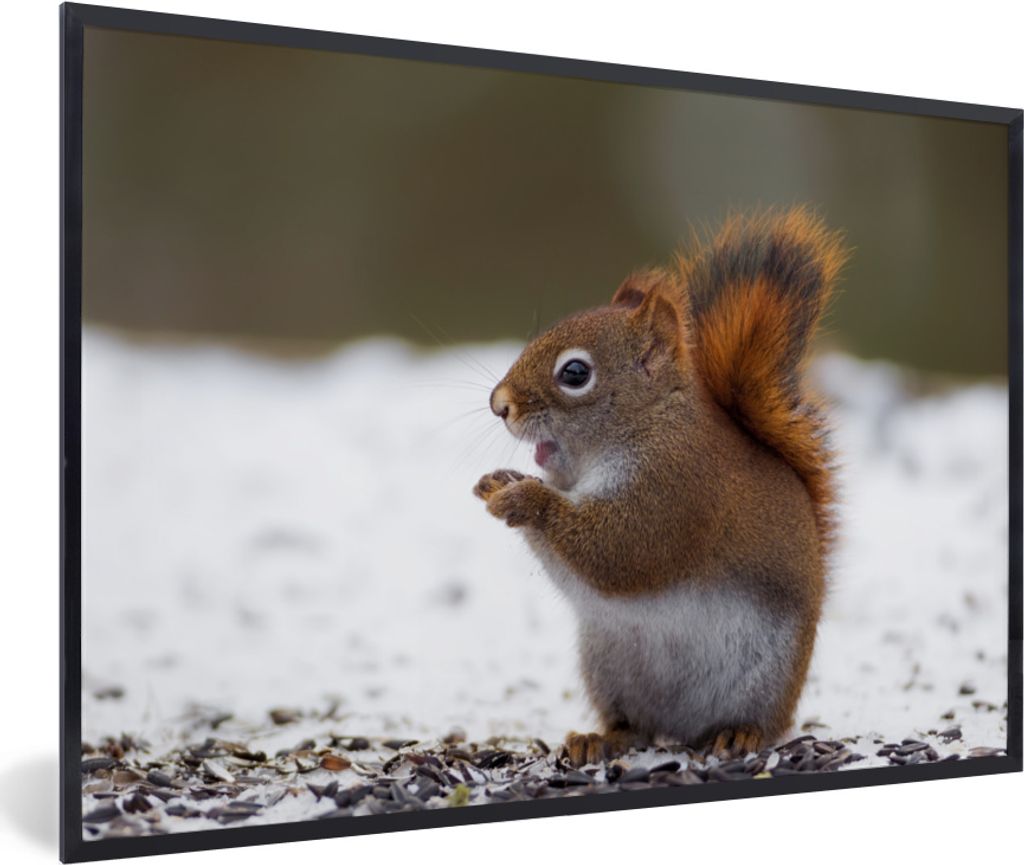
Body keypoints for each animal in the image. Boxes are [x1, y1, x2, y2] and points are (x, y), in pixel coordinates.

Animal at [473, 208, 848, 765]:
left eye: (575, 373)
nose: (500, 405)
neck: (645, 424)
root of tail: (684, 728)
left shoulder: (676, 490)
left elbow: (618, 552)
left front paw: (525, 498)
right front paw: (501, 482)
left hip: (765, 675)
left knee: (764, 723)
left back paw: (739, 734)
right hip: (608, 663)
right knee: (638, 725)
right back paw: (604, 738)